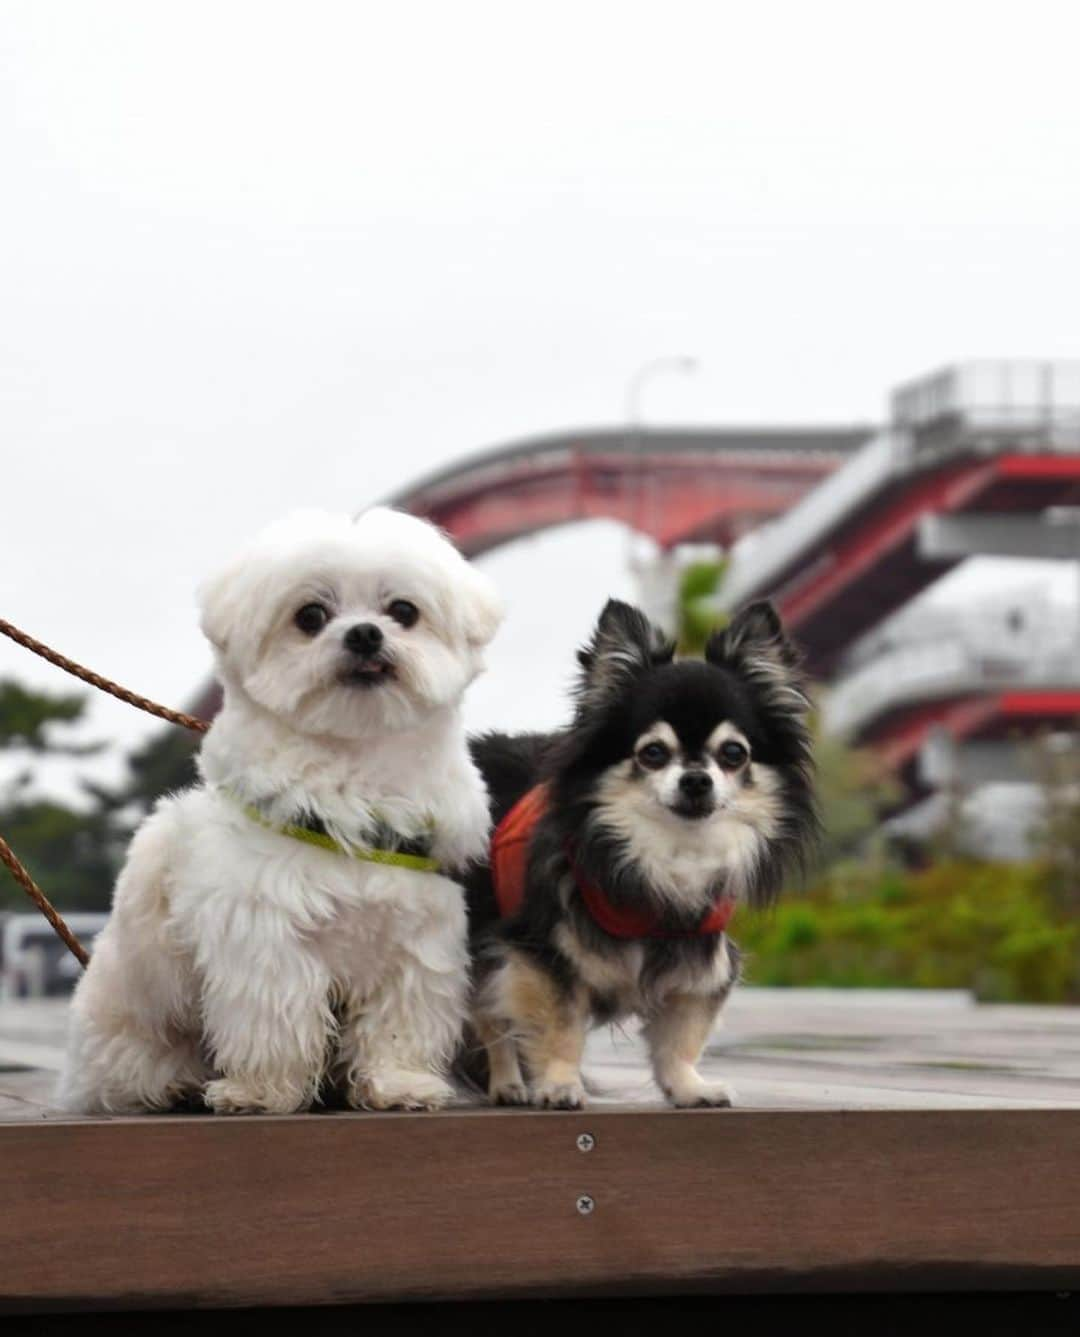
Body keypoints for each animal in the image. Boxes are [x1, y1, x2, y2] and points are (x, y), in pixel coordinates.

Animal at [55, 505, 502, 1112]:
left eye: (403, 611)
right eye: (310, 616)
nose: (365, 633)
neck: (353, 764)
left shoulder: (419, 934)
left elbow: (398, 1020)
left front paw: (398, 1084)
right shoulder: (264, 929)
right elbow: (273, 1017)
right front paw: (261, 1092)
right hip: (128, 1018)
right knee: (132, 1063)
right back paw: (170, 1083)